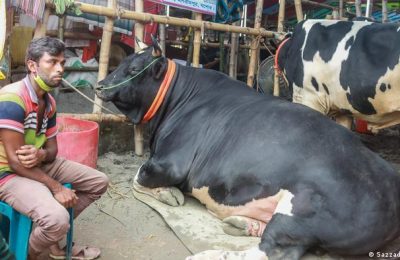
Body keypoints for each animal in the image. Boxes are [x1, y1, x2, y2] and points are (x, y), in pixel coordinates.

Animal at [96, 37, 400, 258]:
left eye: (133, 70)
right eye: (123, 62)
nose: (100, 85)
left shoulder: (170, 163)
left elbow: (137, 177)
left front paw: (165, 193)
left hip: (302, 211)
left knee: (271, 250)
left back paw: (209, 254)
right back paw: (244, 223)